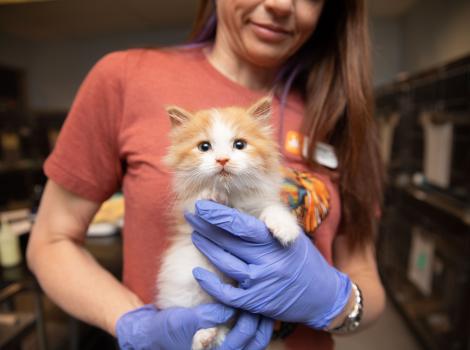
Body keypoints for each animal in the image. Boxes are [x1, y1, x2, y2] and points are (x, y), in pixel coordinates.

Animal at [156, 97, 300, 348]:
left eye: (239, 145)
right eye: (204, 147)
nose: (222, 159)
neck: (232, 197)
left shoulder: (261, 203)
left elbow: (272, 208)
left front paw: (285, 229)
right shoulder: (188, 210)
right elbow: (201, 200)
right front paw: (213, 196)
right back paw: (205, 336)